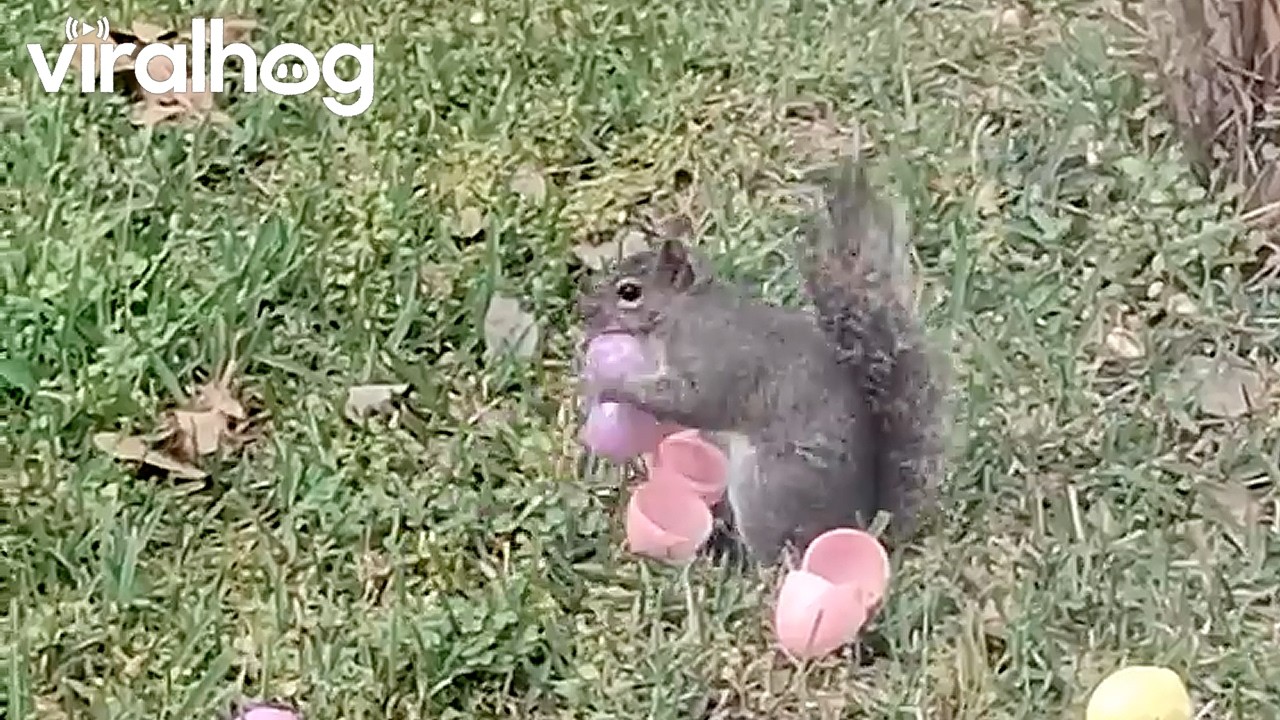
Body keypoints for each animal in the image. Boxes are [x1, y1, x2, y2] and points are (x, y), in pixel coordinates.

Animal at [577, 158, 946, 563]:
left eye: (629, 292)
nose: (585, 312)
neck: (685, 309)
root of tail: (860, 522)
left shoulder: (714, 358)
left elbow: (689, 401)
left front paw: (609, 385)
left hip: (766, 491)